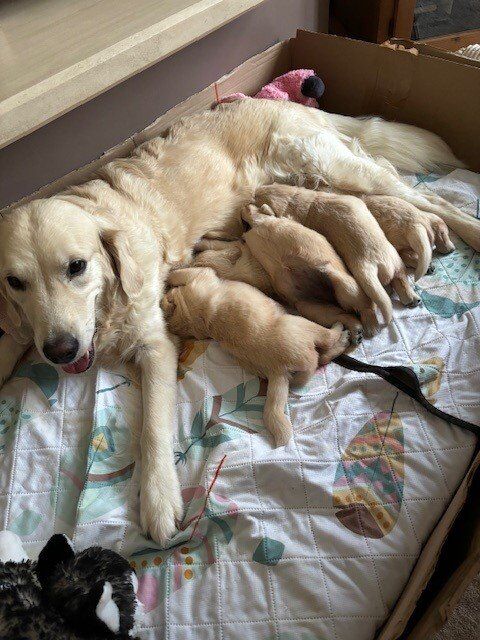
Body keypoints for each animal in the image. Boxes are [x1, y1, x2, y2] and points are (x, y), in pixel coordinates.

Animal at [163, 268, 350, 448]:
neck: (188, 315)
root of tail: (278, 369)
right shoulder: (201, 274)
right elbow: (183, 273)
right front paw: (170, 276)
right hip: (301, 325)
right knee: (327, 341)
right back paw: (341, 333)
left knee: (324, 356)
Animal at [255, 185, 420, 324]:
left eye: (257, 197)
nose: (255, 191)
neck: (306, 203)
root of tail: (377, 264)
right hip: (386, 263)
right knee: (400, 279)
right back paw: (411, 299)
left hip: (391, 261)